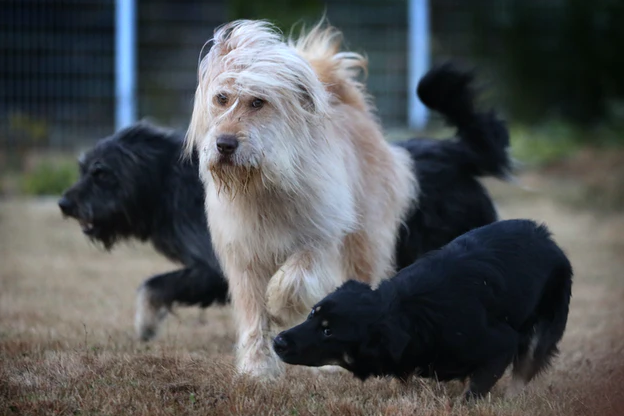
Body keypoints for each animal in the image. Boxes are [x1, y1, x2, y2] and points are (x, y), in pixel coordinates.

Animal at [58, 121, 229, 342]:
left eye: (101, 173)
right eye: (83, 169)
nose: (63, 204)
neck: (165, 177)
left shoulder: (217, 267)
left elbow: (152, 286)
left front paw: (146, 322)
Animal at [186, 18, 420, 376]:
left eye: (258, 102)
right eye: (221, 98)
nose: (224, 144)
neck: (263, 184)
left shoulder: (319, 239)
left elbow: (293, 278)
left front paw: (280, 308)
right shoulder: (245, 256)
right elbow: (253, 314)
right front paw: (257, 367)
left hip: (363, 239)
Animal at [276, 219, 572, 402]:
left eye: (328, 332)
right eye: (312, 313)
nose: (278, 342)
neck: (407, 315)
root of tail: (546, 237)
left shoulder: (501, 343)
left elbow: (476, 387)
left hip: (543, 325)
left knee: (525, 366)